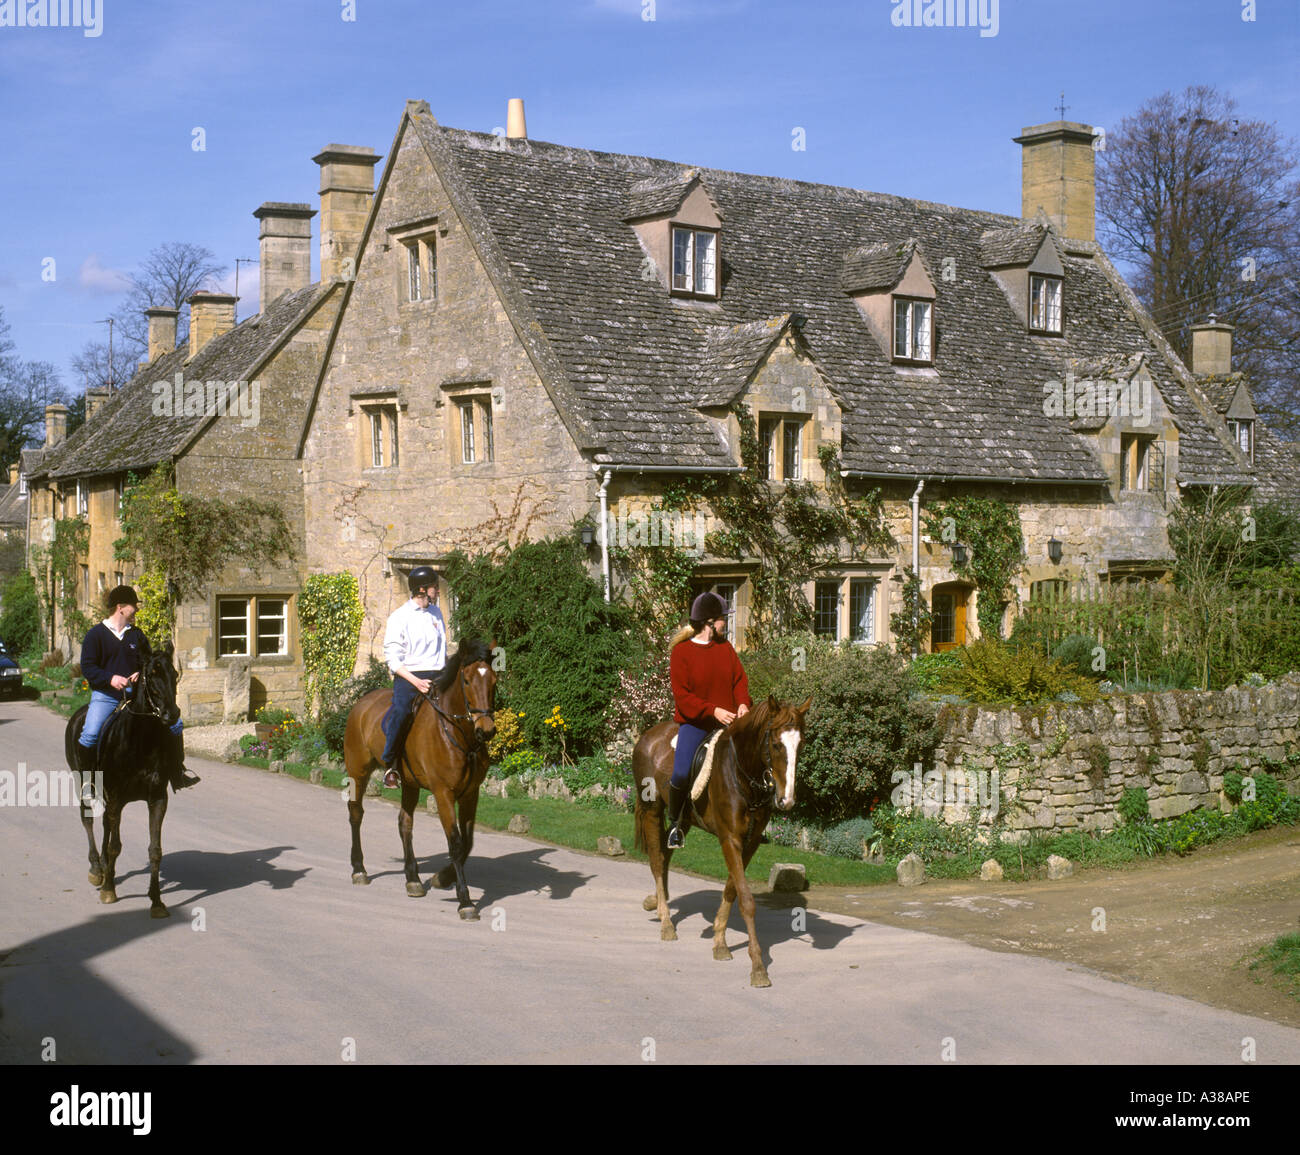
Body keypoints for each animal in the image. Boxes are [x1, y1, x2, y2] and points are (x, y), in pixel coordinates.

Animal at [66, 637, 185, 915]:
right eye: (151, 674)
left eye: (174, 674)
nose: (171, 714)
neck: (140, 740)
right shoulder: (117, 799)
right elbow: (115, 846)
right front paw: (109, 890)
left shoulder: (157, 799)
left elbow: (155, 849)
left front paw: (156, 901)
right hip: (83, 784)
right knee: (88, 820)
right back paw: (97, 870)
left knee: (104, 825)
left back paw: (104, 868)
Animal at [345, 639, 496, 920]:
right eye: (467, 680)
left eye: (494, 680)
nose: (486, 729)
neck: (458, 735)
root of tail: (362, 703)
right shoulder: (443, 793)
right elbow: (455, 842)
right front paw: (465, 901)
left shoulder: (471, 793)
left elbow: (468, 842)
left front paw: (441, 878)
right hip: (357, 772)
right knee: (356, 814)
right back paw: (359, 869)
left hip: (409, 783)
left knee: (405, 823)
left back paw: (413, 879)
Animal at [631, 691, 806, 988]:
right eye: (775, 744)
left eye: (800, 745)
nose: (787, 799)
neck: (741, 773)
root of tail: (647, 736)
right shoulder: (730, 839)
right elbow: (746, 900)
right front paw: (758, 967)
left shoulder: (749, 843)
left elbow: (732, 890)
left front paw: (720, 943)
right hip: (652, 809)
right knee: (656, 860)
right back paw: (666, 923)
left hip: (683, 821)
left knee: (665, 855)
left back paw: (656, 903)